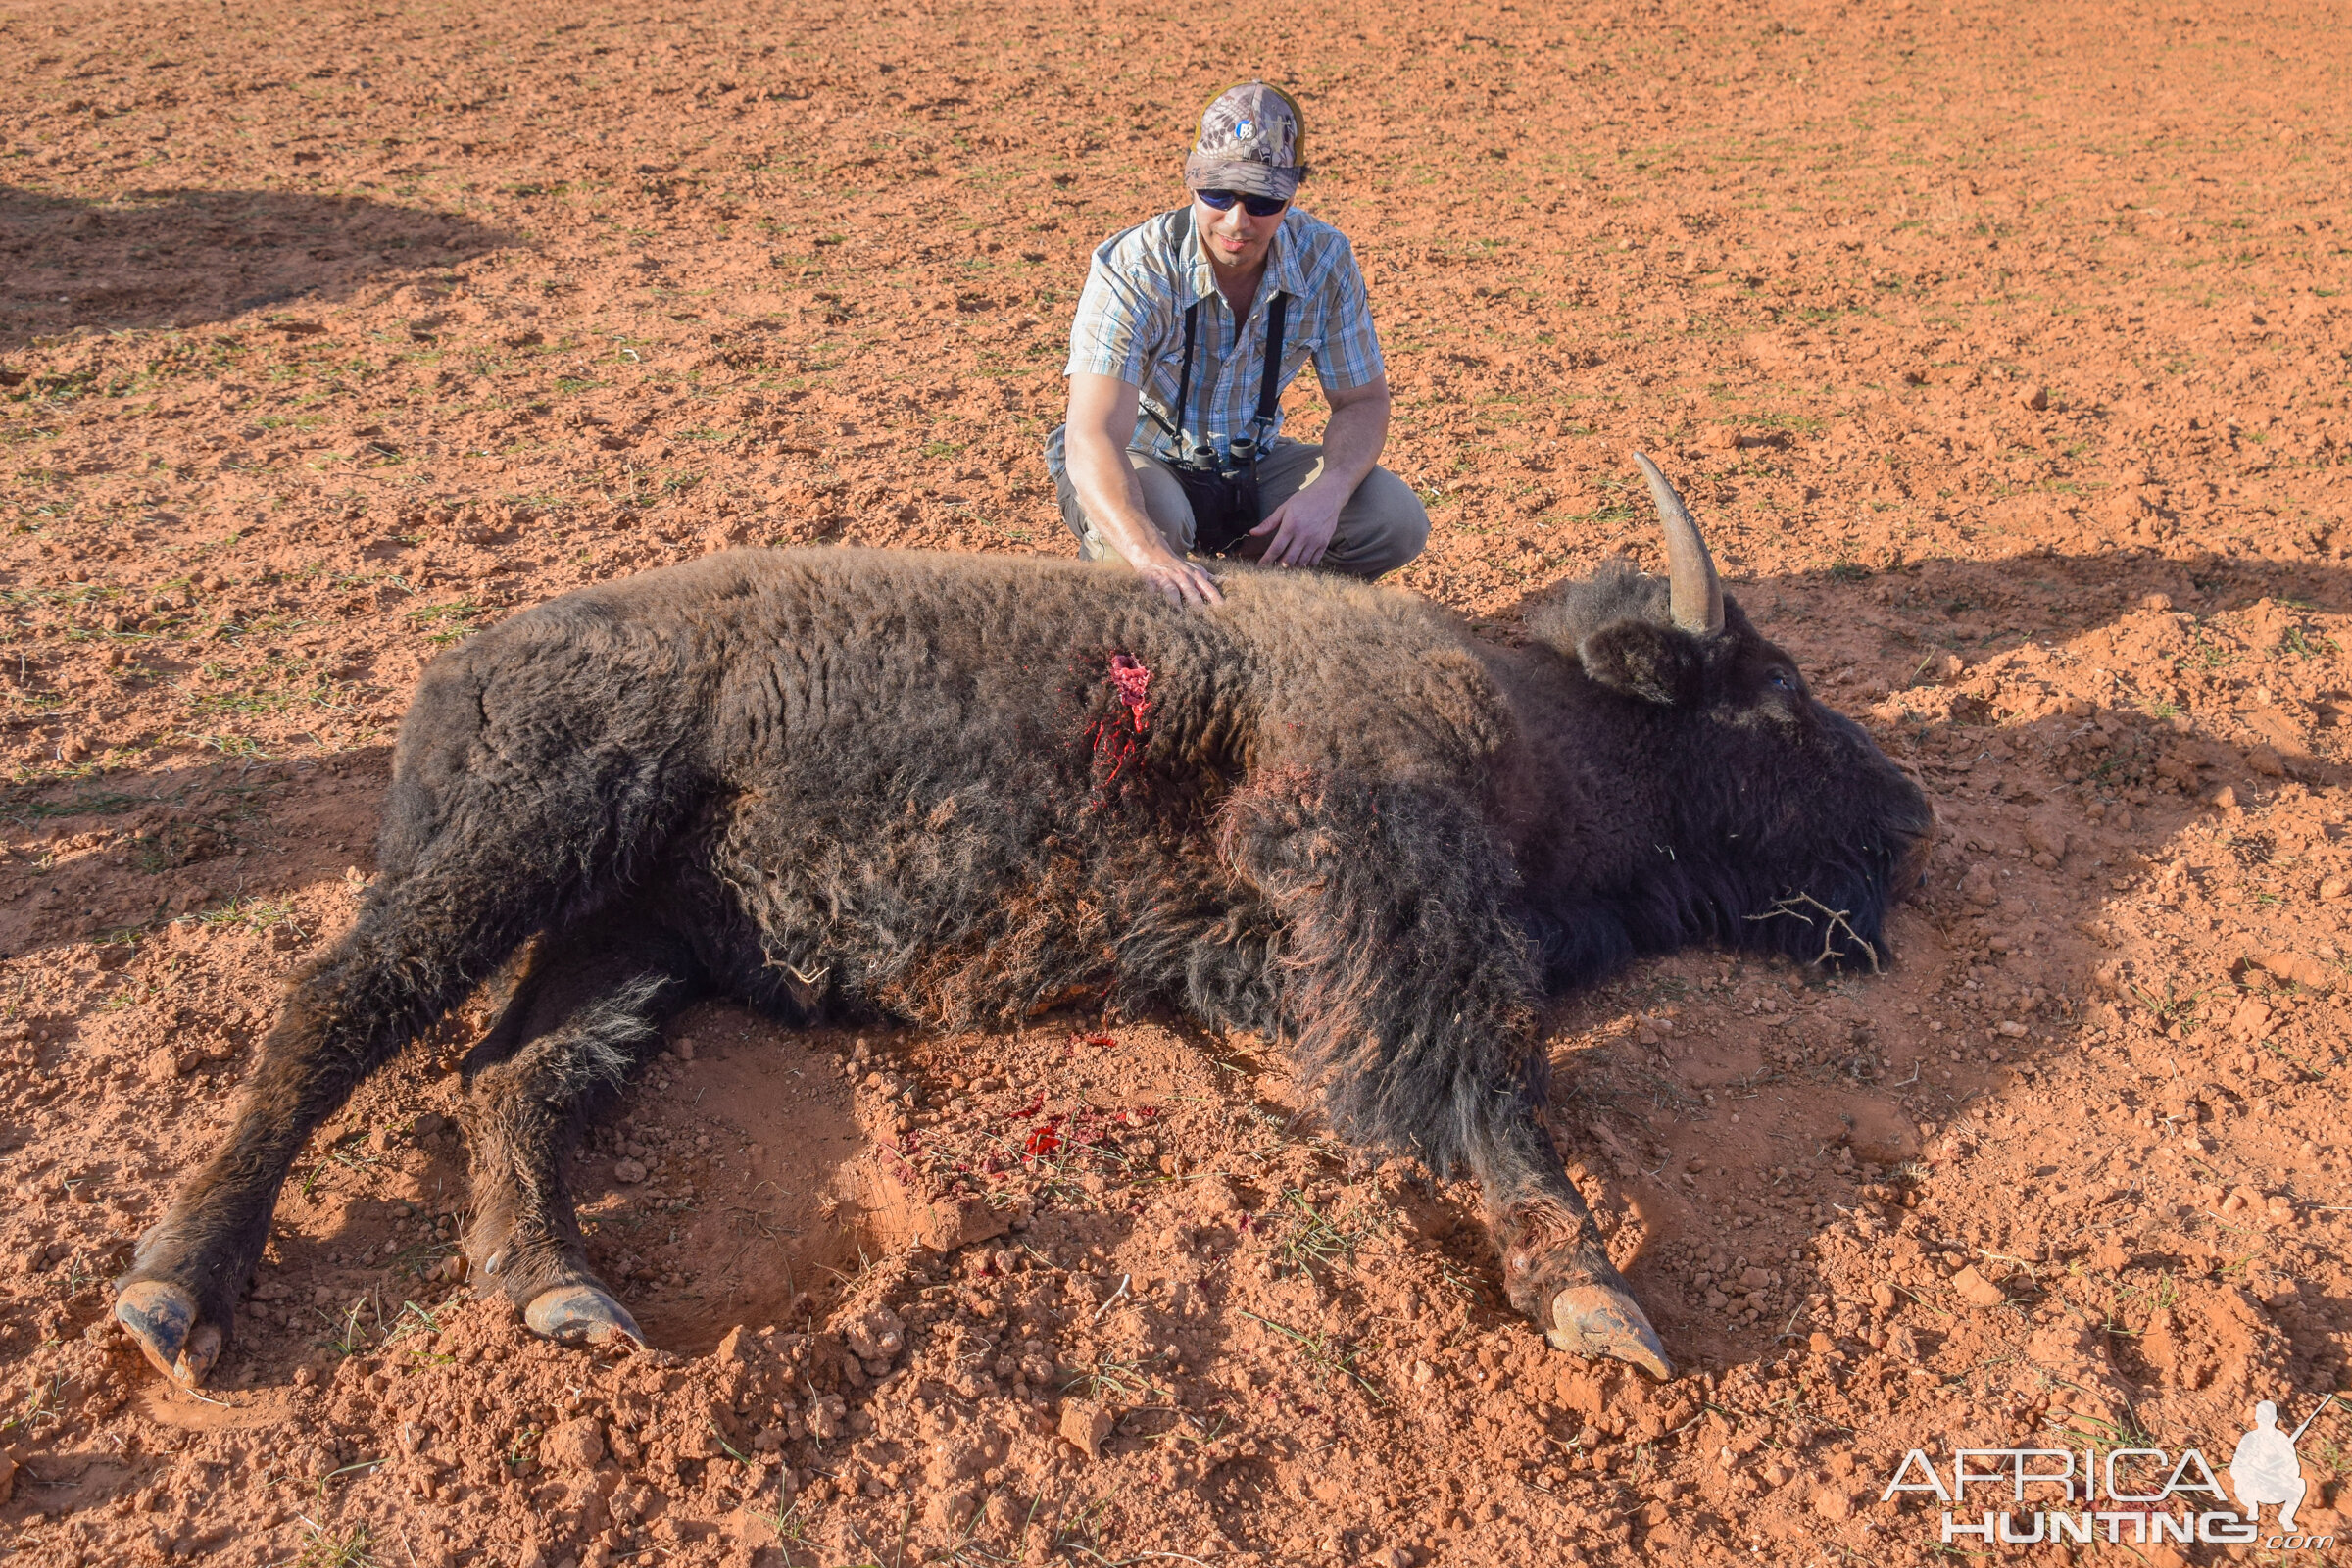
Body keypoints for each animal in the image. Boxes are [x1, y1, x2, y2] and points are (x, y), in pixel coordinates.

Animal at [115, 453, 1929, 1382]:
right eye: (1775, 697)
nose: (1910, 815)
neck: (1541, 719)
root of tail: (464, 664)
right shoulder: (1396, 887)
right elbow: (1489, 1083)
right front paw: (1598, 1300)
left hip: (626, 943)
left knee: (514, 1077)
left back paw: (561, 1290)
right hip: (517, 851)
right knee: (332, 1013)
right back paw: (171, 1293)